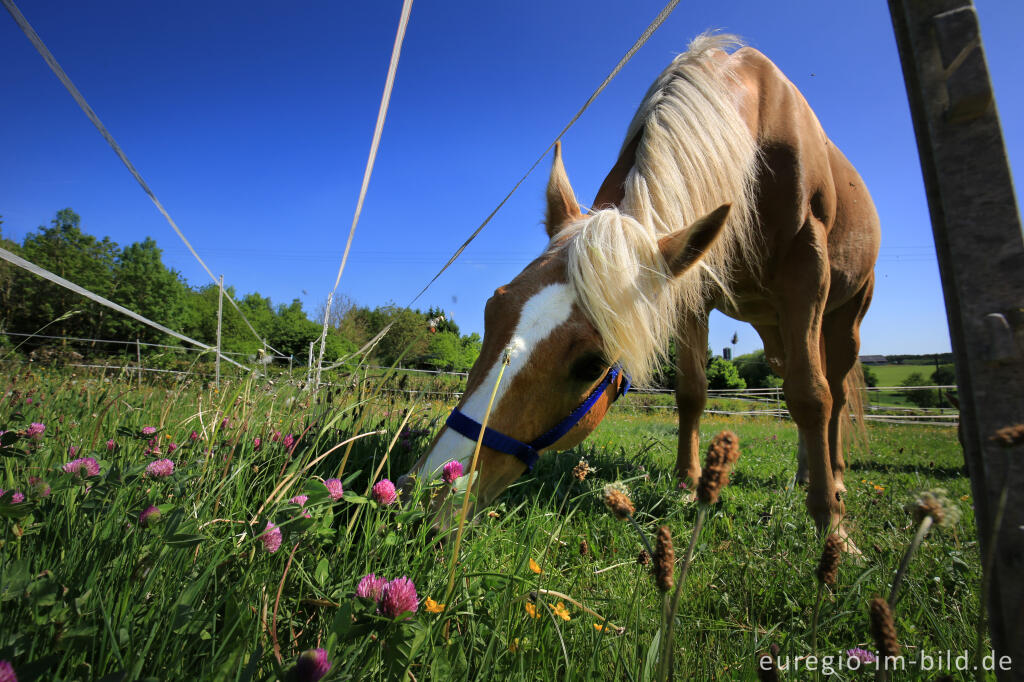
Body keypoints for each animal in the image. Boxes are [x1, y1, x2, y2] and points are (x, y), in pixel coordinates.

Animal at [399, 33, 880, 540]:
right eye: (493, 309)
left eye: (592, 364)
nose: (426, 493)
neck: (755, 141)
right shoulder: (690, 294)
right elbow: (692, 392)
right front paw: (688, 486)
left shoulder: (806, 276)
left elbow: (811, 395)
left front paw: (832, 525)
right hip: (775, 327)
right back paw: (808, 472)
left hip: (842, 316)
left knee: (834, 390)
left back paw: (834, 479)